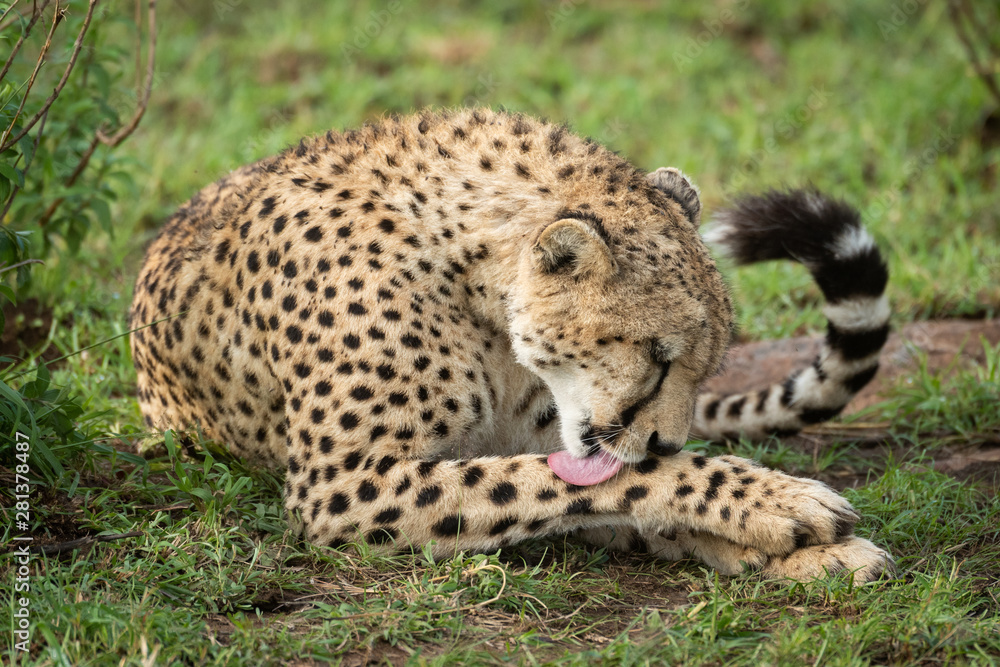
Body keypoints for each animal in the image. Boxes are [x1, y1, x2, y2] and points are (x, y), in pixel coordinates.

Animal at [129, 108, 894, 583]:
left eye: (704, 365)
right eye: (657, 356)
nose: (667, 438)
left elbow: (614, 494)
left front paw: (820, 552)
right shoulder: (343, 485)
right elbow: (598, 482)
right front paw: (779, 504)